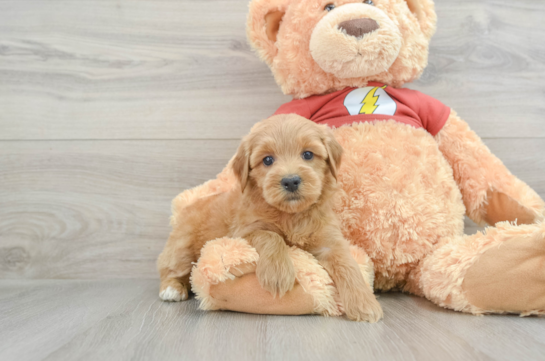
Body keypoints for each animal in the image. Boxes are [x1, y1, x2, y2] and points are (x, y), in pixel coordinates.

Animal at [155, 113, 380, 320]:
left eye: (308, 154)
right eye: (268, 160)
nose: (290, 181)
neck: (291, 215)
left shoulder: (329, 240)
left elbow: (347, 264)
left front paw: (364, 302)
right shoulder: (244, 231)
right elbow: (271, 236)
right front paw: (278, 274)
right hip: (181, 247)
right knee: (170, 270)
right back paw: (172, 289)